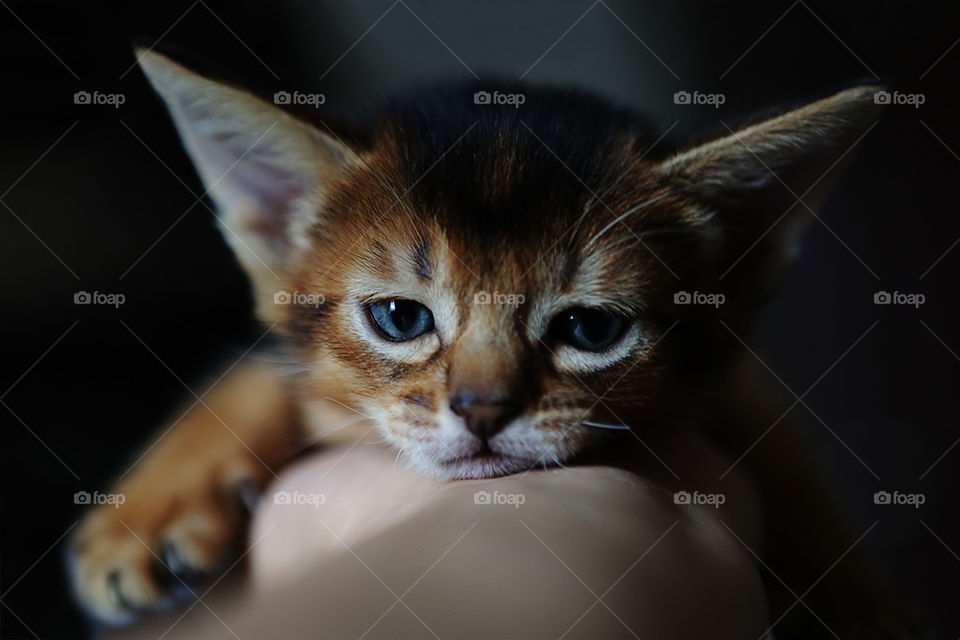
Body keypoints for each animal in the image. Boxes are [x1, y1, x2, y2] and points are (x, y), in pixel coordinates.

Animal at [69, 50, 908, 636]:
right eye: (400, 319)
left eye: (591, 329)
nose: (482, 410)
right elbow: (259, 371)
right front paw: (148, 511)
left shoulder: (734, 377)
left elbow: (780, 436)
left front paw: (850, 595)